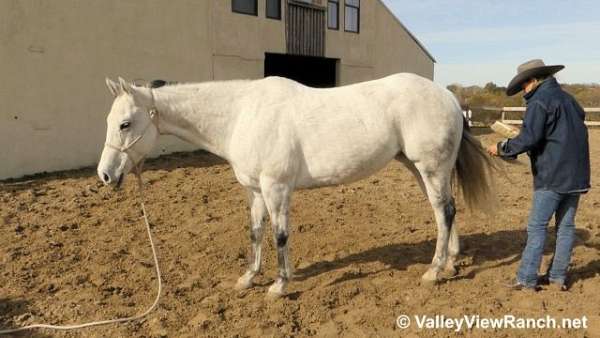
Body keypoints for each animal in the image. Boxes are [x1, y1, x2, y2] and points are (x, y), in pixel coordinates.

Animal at [97, 74, 492, 298]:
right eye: (110, 120)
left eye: (126, 124)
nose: (104, 175)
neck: (243, 114)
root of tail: (449, 98)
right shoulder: (255, 190)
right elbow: (256, 232)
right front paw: (248, 278)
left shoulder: (276, 188)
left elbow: (280, 235)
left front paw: (279, 285)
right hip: (420, 168)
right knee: (444, 211)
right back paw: (451, 263)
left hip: (430, 167)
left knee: (445, 211)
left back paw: (433, 271)